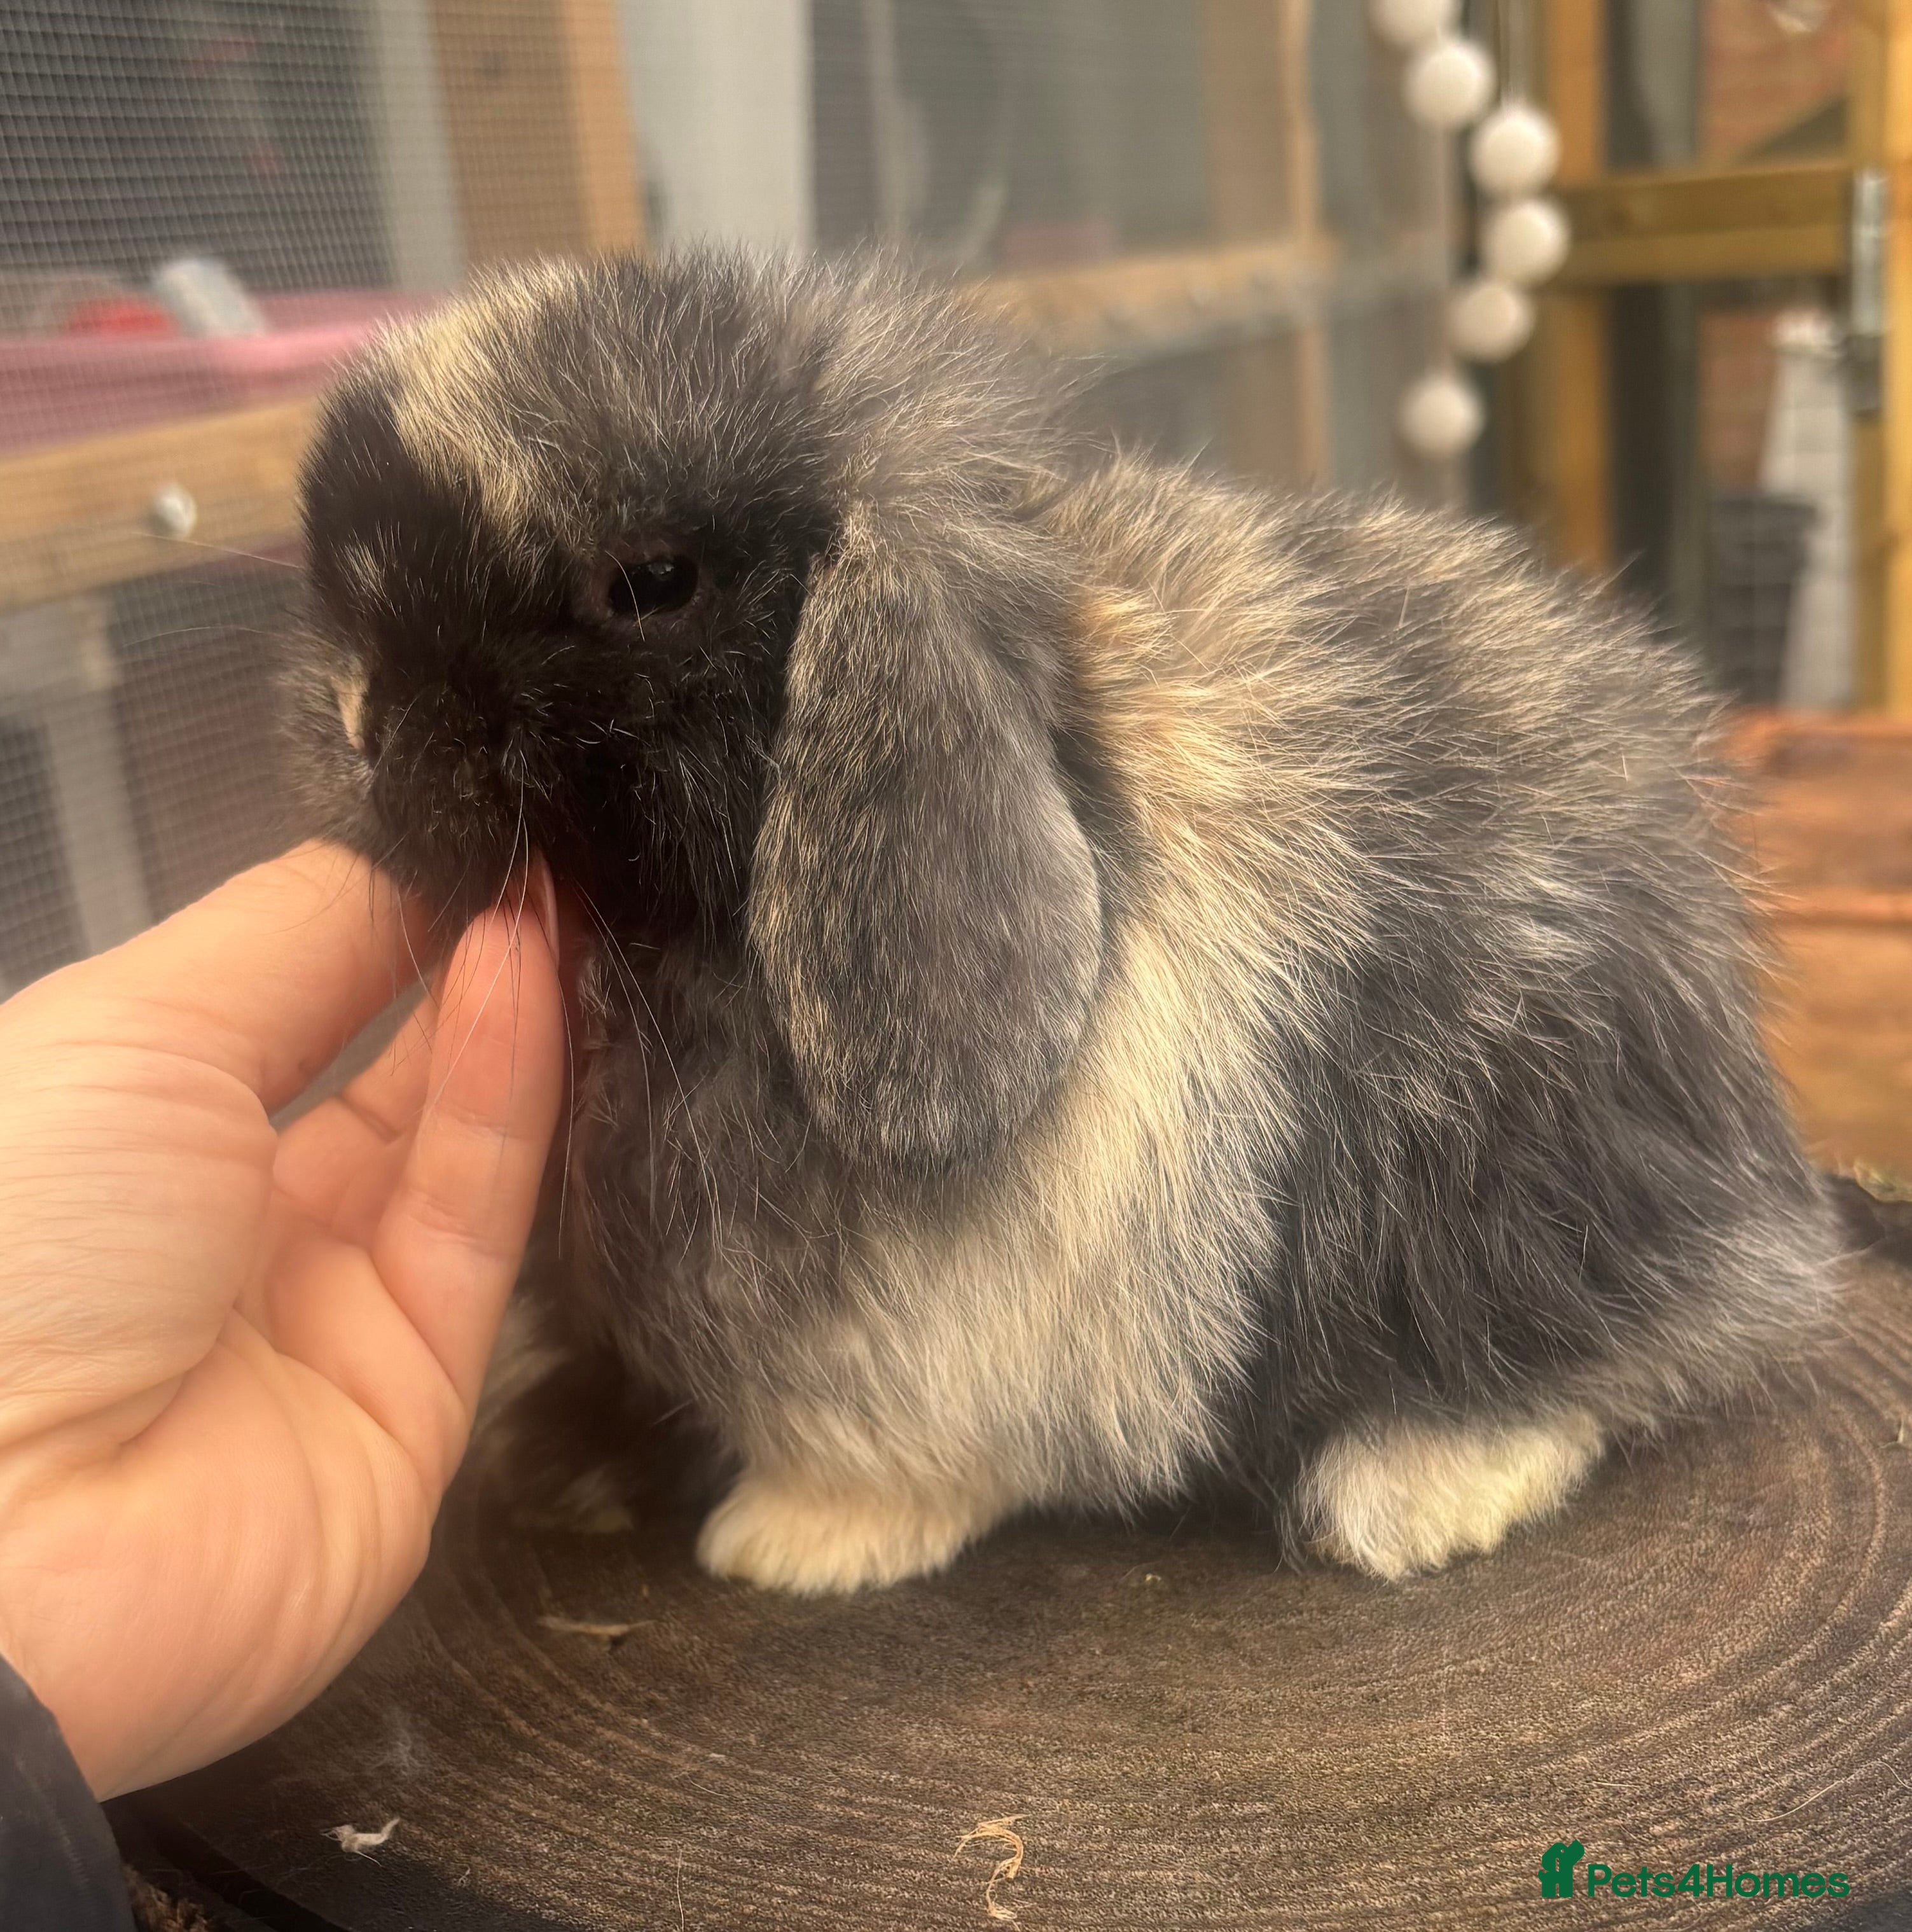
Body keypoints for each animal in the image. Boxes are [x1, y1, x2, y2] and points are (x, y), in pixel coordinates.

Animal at [286, 252, 1835, 1595]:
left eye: (652, 582)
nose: (365, 728)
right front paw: (569, 1457)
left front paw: (792, 1539)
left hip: (1502, 1165)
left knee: (1626, 1344)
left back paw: (1407, 1492)